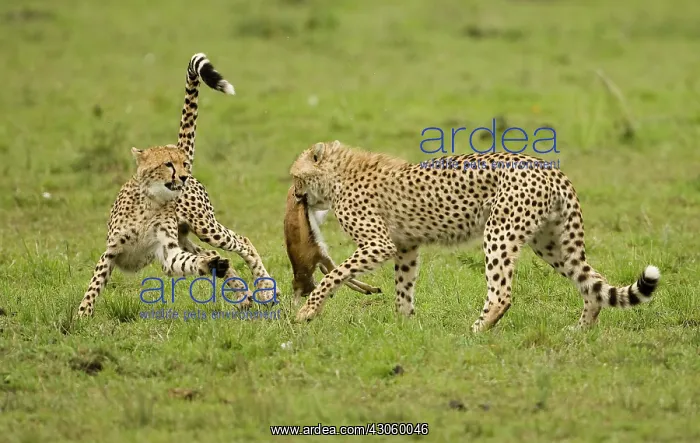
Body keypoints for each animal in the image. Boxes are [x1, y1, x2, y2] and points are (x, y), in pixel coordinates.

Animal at [77, 53, 278, 317]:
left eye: (182, 163)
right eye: (168, 164)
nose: (182, 176)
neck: (151, 202)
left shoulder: (167, 251)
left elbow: (185, 262)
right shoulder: (111, 252)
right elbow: (94, 285)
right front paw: (82, 315)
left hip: (205, 226)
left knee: (241, 242)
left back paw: (266, 290)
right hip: (189, 236)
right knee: (216, 254)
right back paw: (242, 294)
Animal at [289, 140, 661, 332]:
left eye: (294, 176)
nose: (294, 195)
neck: (340, 173)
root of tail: (550, 168)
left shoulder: (379, 243)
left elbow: (334, 274)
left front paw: (307, 312)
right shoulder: (406, 246)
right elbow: (403, 288)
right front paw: (405, 326)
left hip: (499, 232)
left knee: (501, 294)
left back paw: (475, 331)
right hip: (551, 243)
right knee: (592, 282)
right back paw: (580, 329)